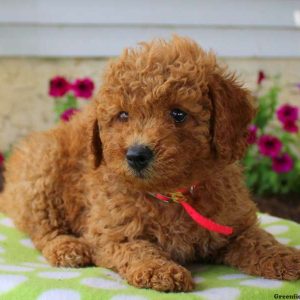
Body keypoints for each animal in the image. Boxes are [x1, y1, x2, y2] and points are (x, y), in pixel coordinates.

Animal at [1, 36, 298, 292]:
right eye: (123, 115)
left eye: (178, 114)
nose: (136, 155)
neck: (173, 194)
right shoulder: (112, 232)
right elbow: (137, 248)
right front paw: (160, 270)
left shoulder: (235, 225)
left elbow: (259, 241)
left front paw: (285, 256)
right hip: (42, 170)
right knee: (42, 227)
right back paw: (67, 248)